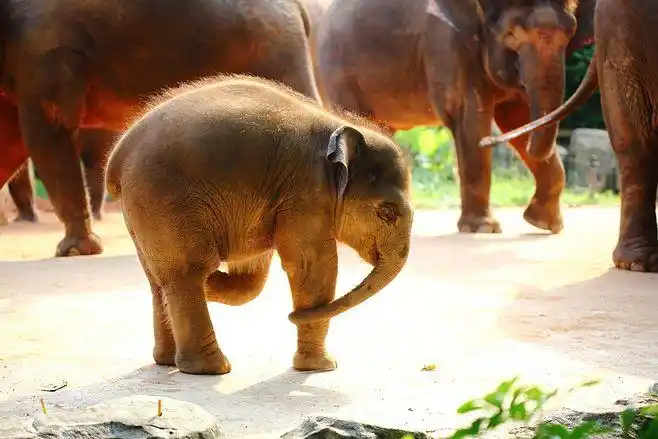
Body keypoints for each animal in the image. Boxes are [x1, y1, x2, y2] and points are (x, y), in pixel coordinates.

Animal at [0, 0, 320, 257]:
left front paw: (75, 251)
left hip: (272, 49)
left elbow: (47, 132)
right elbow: (11, 139)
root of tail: (298, 7)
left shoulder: (44, 51)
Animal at [105, 75, 413, 375]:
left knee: (161, 279)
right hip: (163, 201)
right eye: (386, 212)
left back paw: (168, 357)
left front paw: (214, 283)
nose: (291, 316)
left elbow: (252, 274)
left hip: (142, 213)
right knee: (188, 271)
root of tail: (116, 158)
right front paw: (320, 368)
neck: (338, 126)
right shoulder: (306, 194)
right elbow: (312, 266)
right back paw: (211, 368)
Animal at [315, 0, 595, 234]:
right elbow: (470, 119)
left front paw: (545, 224)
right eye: (511, 35)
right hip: (338, 76)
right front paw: (484, 229)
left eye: (569, 35)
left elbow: (516, 118)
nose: (490, 142)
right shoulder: (446, 44)